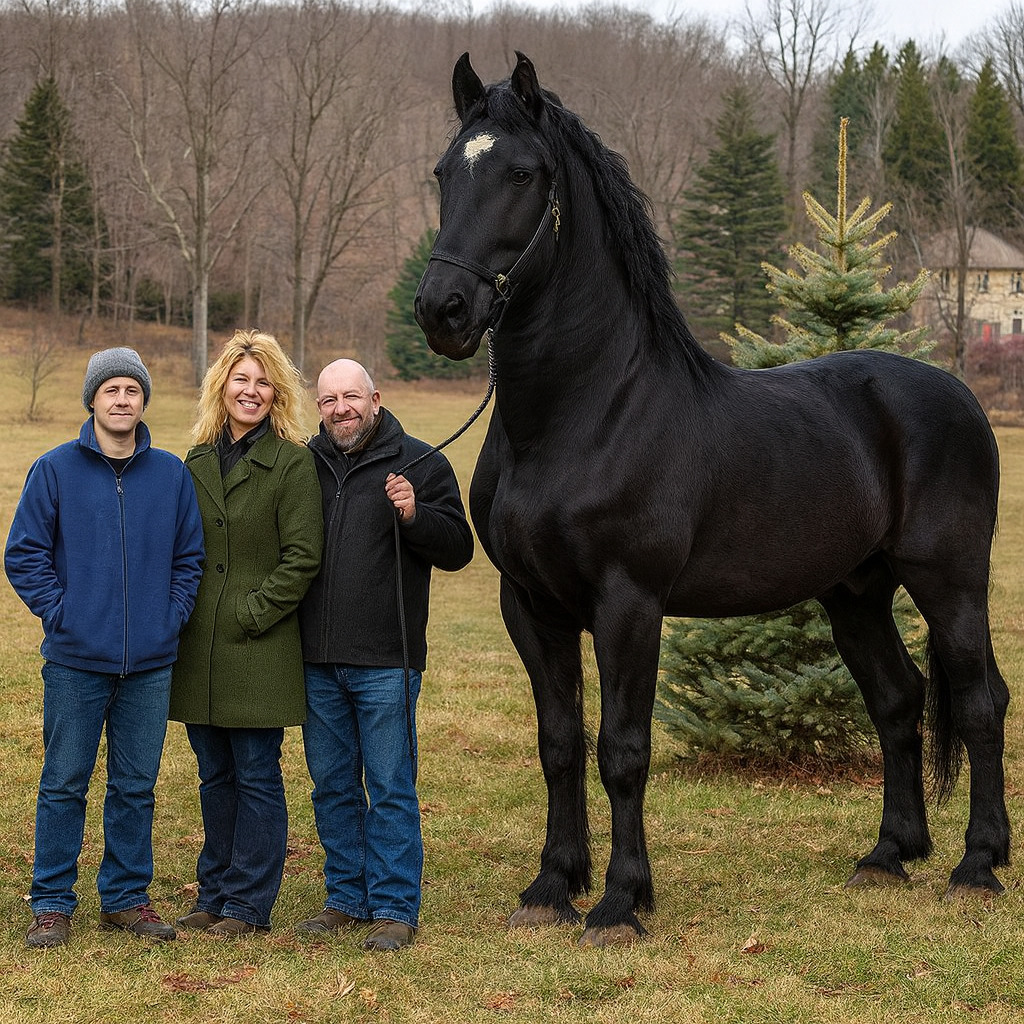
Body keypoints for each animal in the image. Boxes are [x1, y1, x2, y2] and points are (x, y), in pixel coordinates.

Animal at [413, 52, 1011, 947]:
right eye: (446, 173)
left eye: (520, 174)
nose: (442, 311)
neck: (582, 414)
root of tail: (958, 394)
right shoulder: (530, 604)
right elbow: (559, 743)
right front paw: (551, 887)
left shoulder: (629, 602)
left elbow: (622, 749)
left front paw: (620, 902)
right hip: (855, 593)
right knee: (899, 699)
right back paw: (887, 855)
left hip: (950, 580)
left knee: (979, 702)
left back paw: (978, 866)